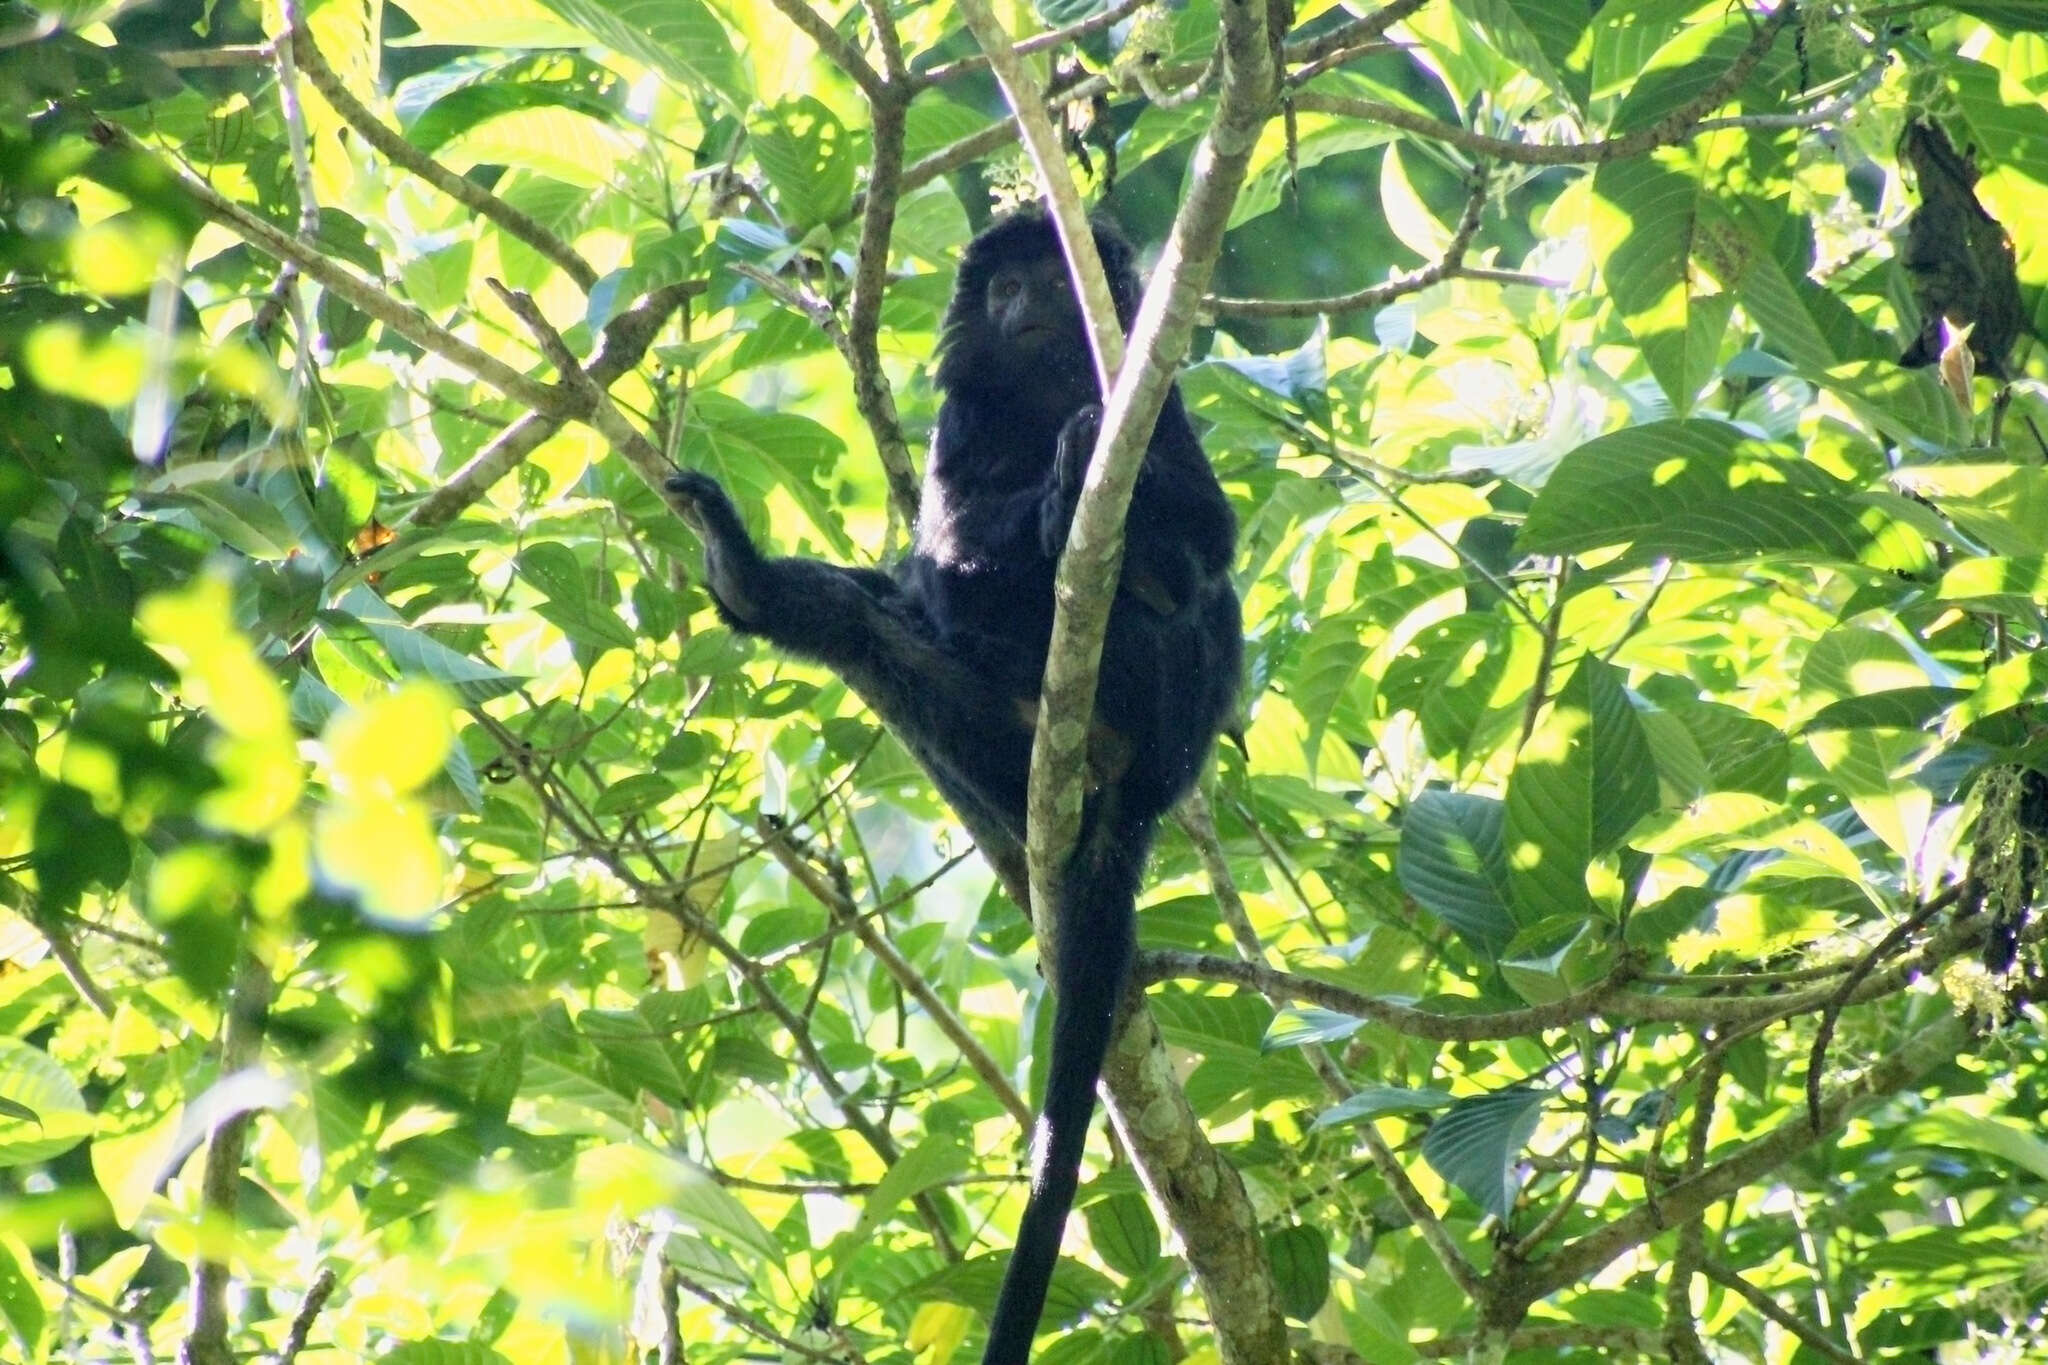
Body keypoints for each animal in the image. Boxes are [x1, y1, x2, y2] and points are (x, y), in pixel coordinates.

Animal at [659, 208, 1228, 1358]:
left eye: (1049, 277)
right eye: (1003, 286)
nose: (1023, 300)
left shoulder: (1158, 401)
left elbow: (1213, 536)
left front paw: (1087, 481)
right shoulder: (960, 422)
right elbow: (948, 550)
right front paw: (1041, 499)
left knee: (1193, 603)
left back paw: (1126, 576)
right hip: (985, 743)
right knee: (879, 624)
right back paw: (759, 582)